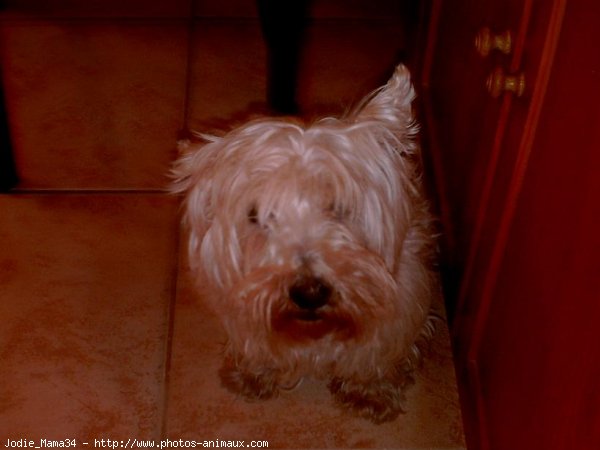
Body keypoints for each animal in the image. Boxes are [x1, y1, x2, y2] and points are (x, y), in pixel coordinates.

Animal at [171, 65, 438, 424]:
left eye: (339, 206)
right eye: (256, 214)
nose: (310, 293)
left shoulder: (402, 298)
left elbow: (378, 349)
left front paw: (369, 392)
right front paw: (253, 372)